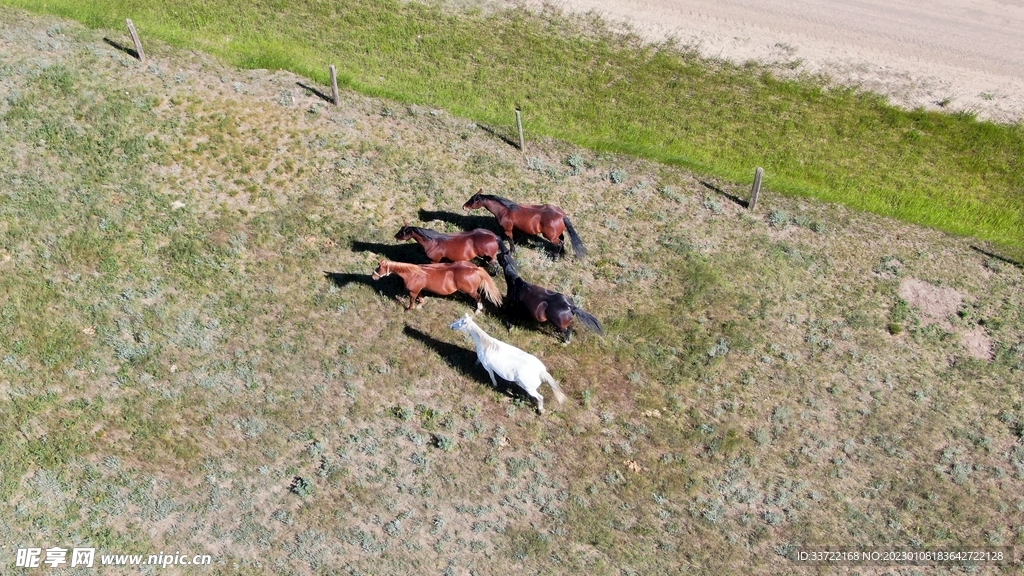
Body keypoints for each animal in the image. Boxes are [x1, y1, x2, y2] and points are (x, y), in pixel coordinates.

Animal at [371, 259, 502, 313]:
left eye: (379, 267)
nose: (373, 276)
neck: (413, 274)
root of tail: (476, 269)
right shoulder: (419, 290)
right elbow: (421, 298)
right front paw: (420, 305)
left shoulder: (413, 292)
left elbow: (412, 301)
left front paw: (409, 309)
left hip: (470, 291)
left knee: (479, 297)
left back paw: (477, 310)